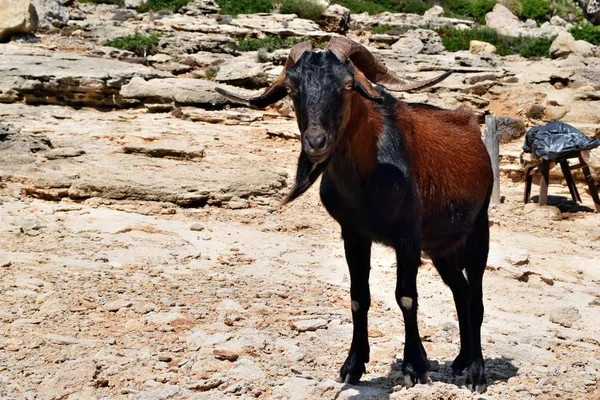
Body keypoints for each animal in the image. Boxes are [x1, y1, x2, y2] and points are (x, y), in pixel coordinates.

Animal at [216, 36, 492, 392]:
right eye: (291, 89)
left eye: (348, 85)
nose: (316, 142)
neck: (369, 177)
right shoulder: (354, 233)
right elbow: (359, 296)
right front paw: (352, 365)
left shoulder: (408, 236)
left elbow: (406, 296)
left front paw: (414, 367)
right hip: (440, 248)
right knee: (461, 291)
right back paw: (460, 361)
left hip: (478, 228)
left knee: (476, 298)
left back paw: (476, 372)